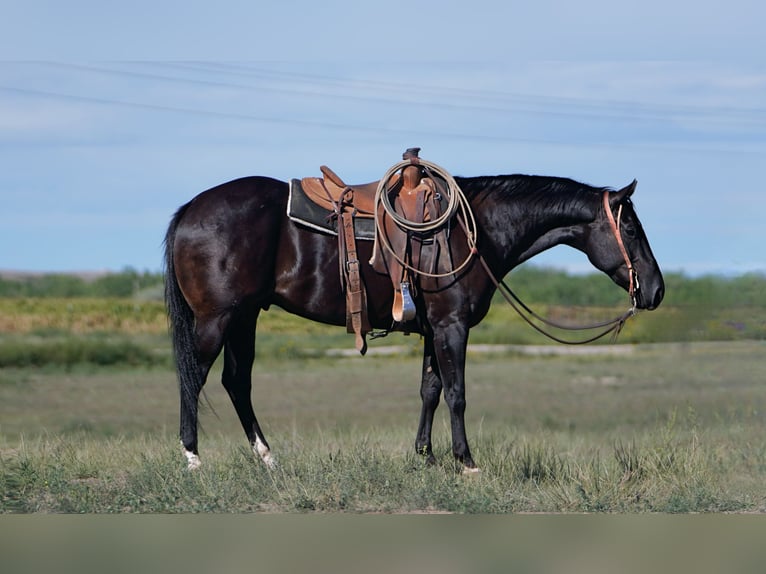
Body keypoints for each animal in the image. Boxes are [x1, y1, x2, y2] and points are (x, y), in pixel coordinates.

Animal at [165, 171, 664, 472]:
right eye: (632, 229)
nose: (656, 291)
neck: (474, 231)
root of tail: (191, 208)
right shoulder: (452, 326)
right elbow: (457, 393)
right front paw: (466, 461)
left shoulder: (433, 329)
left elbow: (430, 390)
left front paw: (425, 457)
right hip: (217, 319)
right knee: (194, 377)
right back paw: (192, 458)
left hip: (244, 318)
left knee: (236, 381)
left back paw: (267, 458)